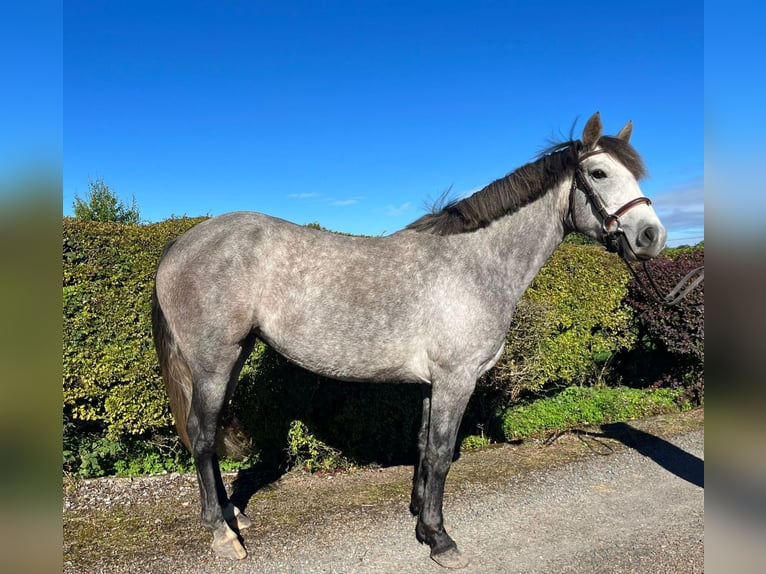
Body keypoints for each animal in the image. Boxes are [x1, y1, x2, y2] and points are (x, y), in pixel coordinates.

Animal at [150, 113, 664, 572]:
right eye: (598, 173)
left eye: (635, 173)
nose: (651, 236)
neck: (474, 264)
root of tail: (180, 243)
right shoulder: (456, 380)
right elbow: (440, 453)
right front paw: (440, 539)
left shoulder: (432, 383)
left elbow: (422, 447)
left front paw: (419, 518)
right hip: (213, 362)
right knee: (201, 436)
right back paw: (222, 534)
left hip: (233, 357)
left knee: (209, 435)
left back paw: (232, 516)